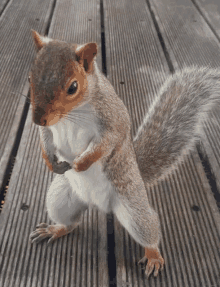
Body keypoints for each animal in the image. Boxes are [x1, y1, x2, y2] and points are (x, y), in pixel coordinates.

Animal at [29, 29, 220, 280]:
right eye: (30, 77)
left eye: (73, 87)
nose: (36, 119)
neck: (74, 113)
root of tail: (99, 205)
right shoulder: (49, 129)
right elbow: (45, 139)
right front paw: (50, 162)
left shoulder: (113, 119)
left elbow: (106, 143)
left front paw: (81, 163)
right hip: (60, 199)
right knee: (70, 222)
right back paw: (55, 228)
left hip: (133, 208)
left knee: (149, 230)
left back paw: (154, 256)